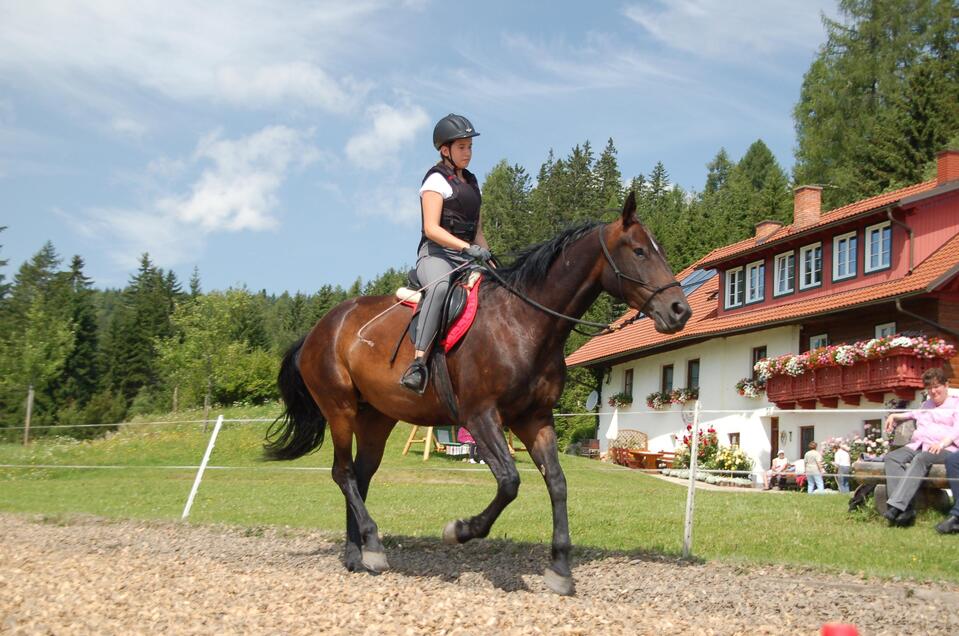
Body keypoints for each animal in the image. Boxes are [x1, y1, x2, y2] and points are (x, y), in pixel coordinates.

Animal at [266, 193, 692, 596]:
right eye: (639, 251)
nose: (679, 311)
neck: (525, 322)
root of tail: (319, 329)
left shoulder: (534, 418)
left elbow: (556, 482)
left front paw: (560, 569)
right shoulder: (480, 416)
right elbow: (509, 481)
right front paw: (460, 530)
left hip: (376, 418)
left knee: (359, 475)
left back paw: (358, 554)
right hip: (339, 409)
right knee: (342, 473)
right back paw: (371, 544)